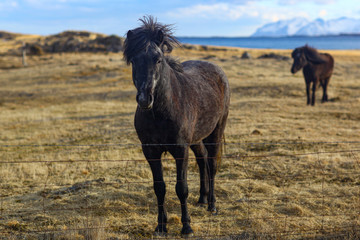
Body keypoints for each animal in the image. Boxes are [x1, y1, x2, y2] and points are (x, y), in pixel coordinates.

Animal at [124, 16, 231, 236]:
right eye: (134, 61)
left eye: (158, 59)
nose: (144, 99)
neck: (162, 111)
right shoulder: (150, 151)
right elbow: (159, 188)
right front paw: (161, 226)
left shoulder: (181, 150)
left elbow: (181, 188)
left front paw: (186, 227)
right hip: (197, 139)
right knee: (202, 159)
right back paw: (202, 199)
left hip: (215, 132)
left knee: (212, 164)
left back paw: (212, 205)